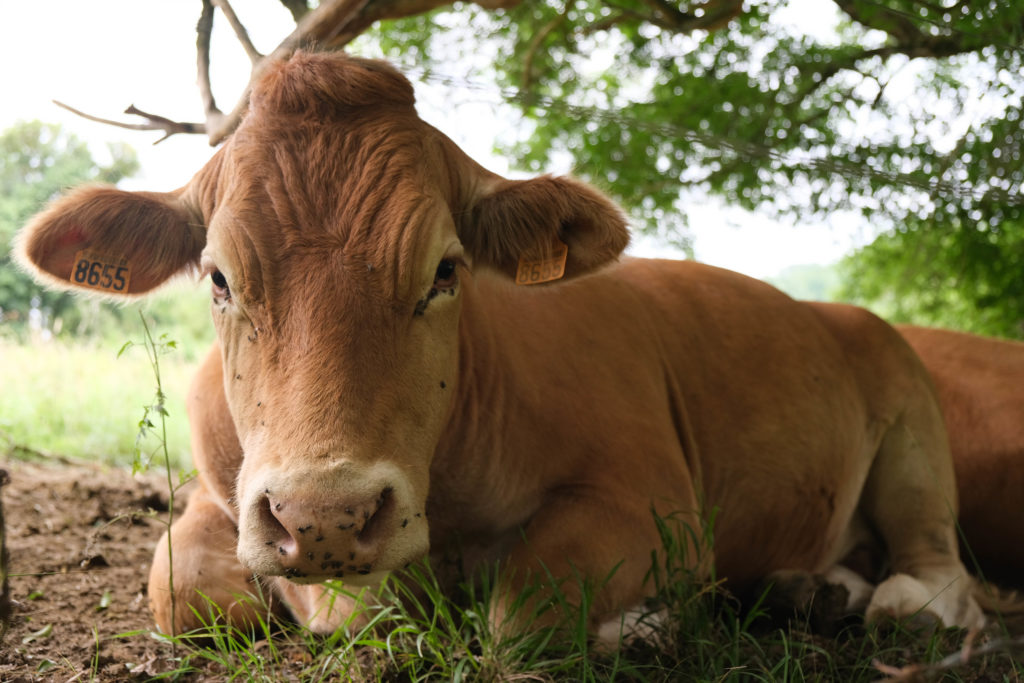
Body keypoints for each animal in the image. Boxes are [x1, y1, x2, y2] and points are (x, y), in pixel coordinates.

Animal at [16, 52, 987, 643]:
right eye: (218, 277)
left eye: (446, 270)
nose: (324, 514)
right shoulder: (217, 498)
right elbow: (179, 586)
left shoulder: (654, 499)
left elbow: (521, 607)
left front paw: (644, 622)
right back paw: (810, 587)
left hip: (911, 424)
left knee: (939, 558)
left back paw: (901, 603)